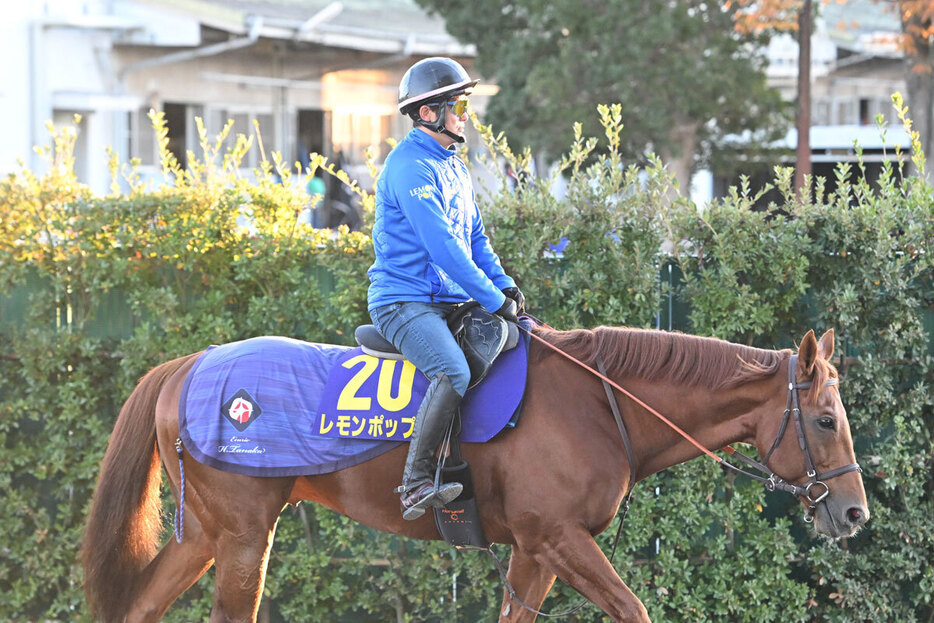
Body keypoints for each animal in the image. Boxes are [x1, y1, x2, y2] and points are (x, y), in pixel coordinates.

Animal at [80, 326, 872, 623]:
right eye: (825, 419)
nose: (856, 512)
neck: (601, 402)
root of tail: (189, 365)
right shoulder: (559, 538)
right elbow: (634, 609)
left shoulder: (536, 550)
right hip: (246, 536)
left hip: (206, 534)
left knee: (139, 605)